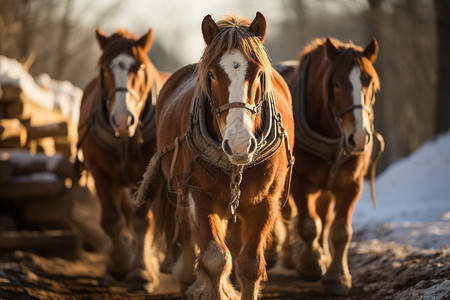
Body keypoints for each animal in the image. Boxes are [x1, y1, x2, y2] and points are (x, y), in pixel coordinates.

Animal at [76, 27, 170, 290]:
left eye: (139, 68)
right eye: (104, 69)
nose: (121, 120)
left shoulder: (149, 177)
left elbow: (142, 221)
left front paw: (141, 272)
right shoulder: (100, 173)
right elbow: (111, 220)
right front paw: (119, 264)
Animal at [134, 11, 296, 300]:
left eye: (259, 73)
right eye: (211, 74)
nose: (240, 144)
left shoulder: (265, 201)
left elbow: (250, 264)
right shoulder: (201, 196)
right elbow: (214, 259)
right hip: (180, 189)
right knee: (188, 233)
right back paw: (188, 278)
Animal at [274, 37, 384, 296]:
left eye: (370, 82)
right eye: (336, 83)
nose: (359, 138)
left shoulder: (352, 184)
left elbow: (340, 230)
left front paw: (337, 277)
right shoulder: (299, 182)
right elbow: (307, 224)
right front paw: (311, 266)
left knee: (324, 217)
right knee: (290, 215)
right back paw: (291, 256)